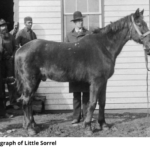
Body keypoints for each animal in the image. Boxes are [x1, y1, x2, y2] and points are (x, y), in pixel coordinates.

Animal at [14, 9, 150, 136]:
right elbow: (92, 103)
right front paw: (88, 127)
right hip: (30, 81)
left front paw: (103, 124)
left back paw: (33, 125)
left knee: (29, 101)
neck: (103, 47)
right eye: (139, 23)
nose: (148, 46)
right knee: (26, 101)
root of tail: (20, 50)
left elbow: (102, 102)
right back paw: (30, 129)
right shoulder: (96, 82)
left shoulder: (104, 82)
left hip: (35, 81)